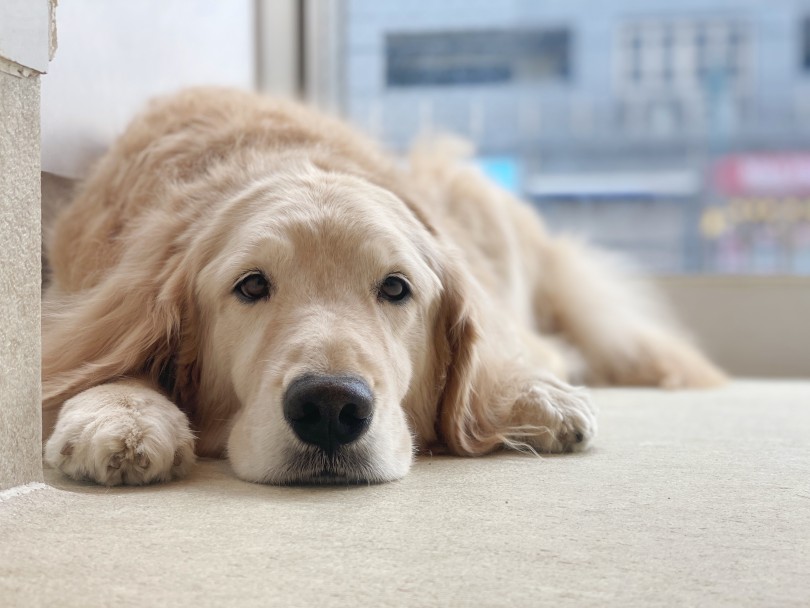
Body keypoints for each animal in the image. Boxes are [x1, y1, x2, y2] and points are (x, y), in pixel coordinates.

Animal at [39, 86, 724, 484]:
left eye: (396, 289)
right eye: (251, 286)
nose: (330, 407)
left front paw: (529, 395)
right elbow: (97, 360)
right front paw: (122, 412)